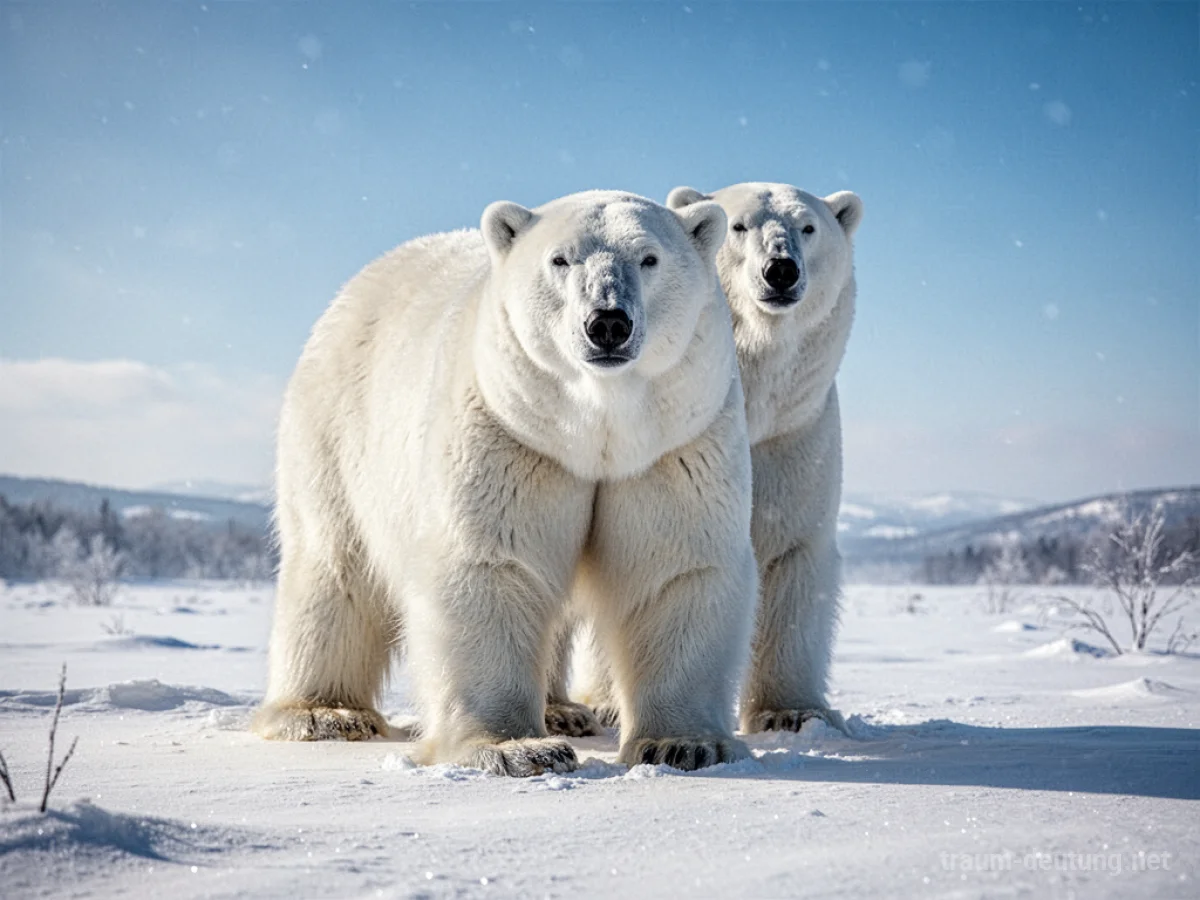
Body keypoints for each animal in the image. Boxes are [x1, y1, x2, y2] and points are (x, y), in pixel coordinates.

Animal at [253, 189, 758, 775]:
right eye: (561, 259)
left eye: (649, 258)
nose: (608, 323)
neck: (599, 423)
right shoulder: (512, 435)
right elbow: (493, 563)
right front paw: (515, 748)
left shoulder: (673, 447)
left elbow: (676, 569)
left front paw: (685, 744)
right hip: (336, 430)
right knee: (334, 564)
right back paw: (323, 713)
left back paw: (563, 711)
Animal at [564, 183, 862, 735]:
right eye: (739, 225)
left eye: (808, 226)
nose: (780, 270)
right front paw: (617, 704)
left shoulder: (793, 436)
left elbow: (791, 552)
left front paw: (793, 712)